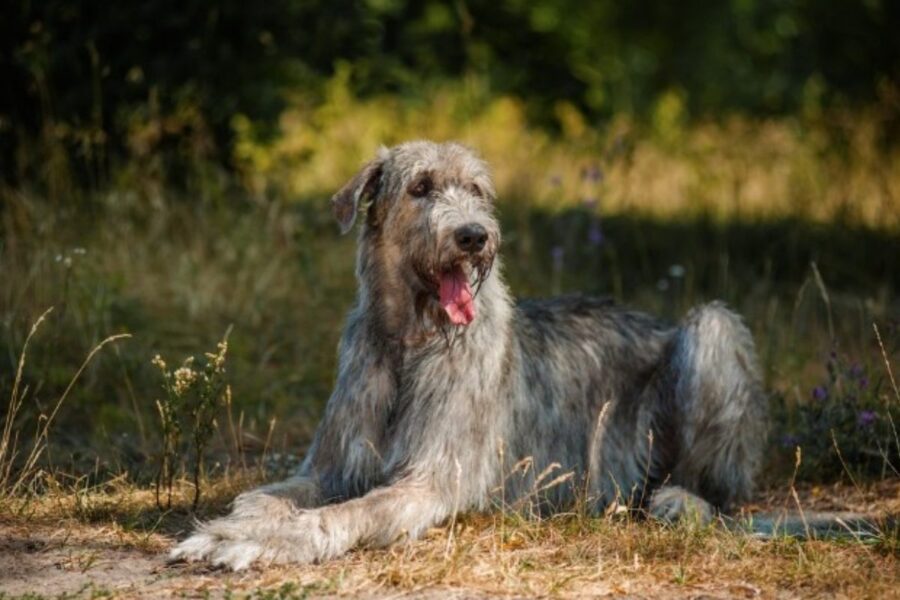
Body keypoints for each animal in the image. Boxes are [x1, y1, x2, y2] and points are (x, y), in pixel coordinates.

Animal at [169, 142, 768, 572]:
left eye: (477, 190)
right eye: (421, 187)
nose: (474, 236)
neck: (409, 344)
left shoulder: (432, 480)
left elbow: (351, 511)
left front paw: (271, 540)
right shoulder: (333, 464)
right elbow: (263, 494)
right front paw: (232, 527)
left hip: (713, 330)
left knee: (722, 490)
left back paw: (681, 500)